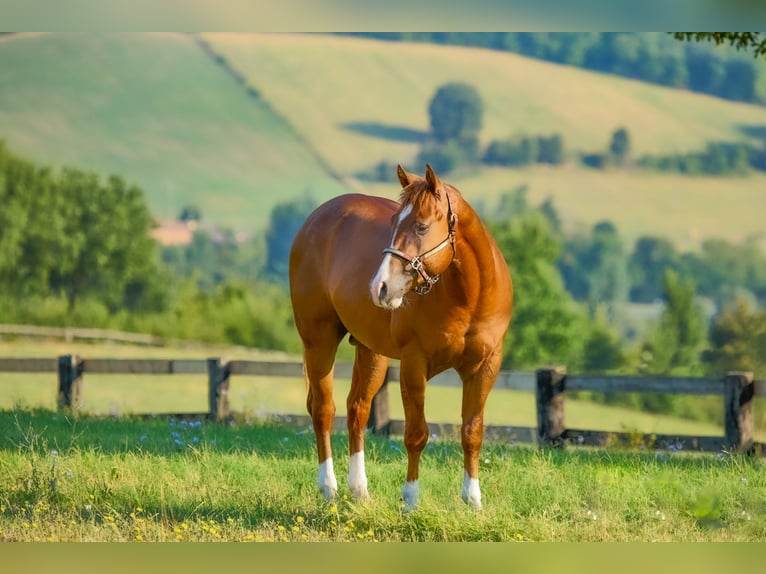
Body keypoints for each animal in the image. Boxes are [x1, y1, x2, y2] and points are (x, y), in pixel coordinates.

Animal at [292, 164, 512, 510]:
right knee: (323, 410)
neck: (469, 297)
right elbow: (416, 434)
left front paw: (473, 500)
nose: (379, 287)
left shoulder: (485, 367)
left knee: (357, 409)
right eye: (394, 222)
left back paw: (360, 490)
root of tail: (314, 220)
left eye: (421, 226)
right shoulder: (414, 364)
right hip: (319, 340)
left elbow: (472, 432)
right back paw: (328, 487)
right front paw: (410, 499)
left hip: (371, 351)